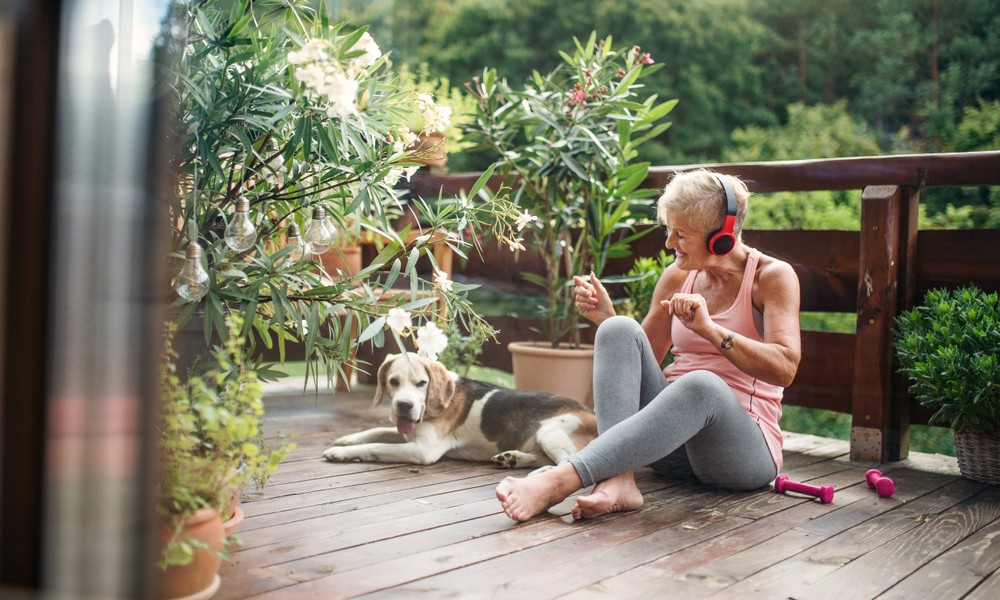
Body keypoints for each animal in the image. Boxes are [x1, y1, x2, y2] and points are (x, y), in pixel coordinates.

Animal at [324, 354, 596, 472]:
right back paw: (512, 459)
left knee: (567, 462)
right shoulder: (408, 432)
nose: (404, 405)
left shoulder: (423, 450)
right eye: (393, 381)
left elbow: (377, 446)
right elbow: (378, 430)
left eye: (421, 383)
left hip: (551, 431)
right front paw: (347, 439)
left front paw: (342, 453)